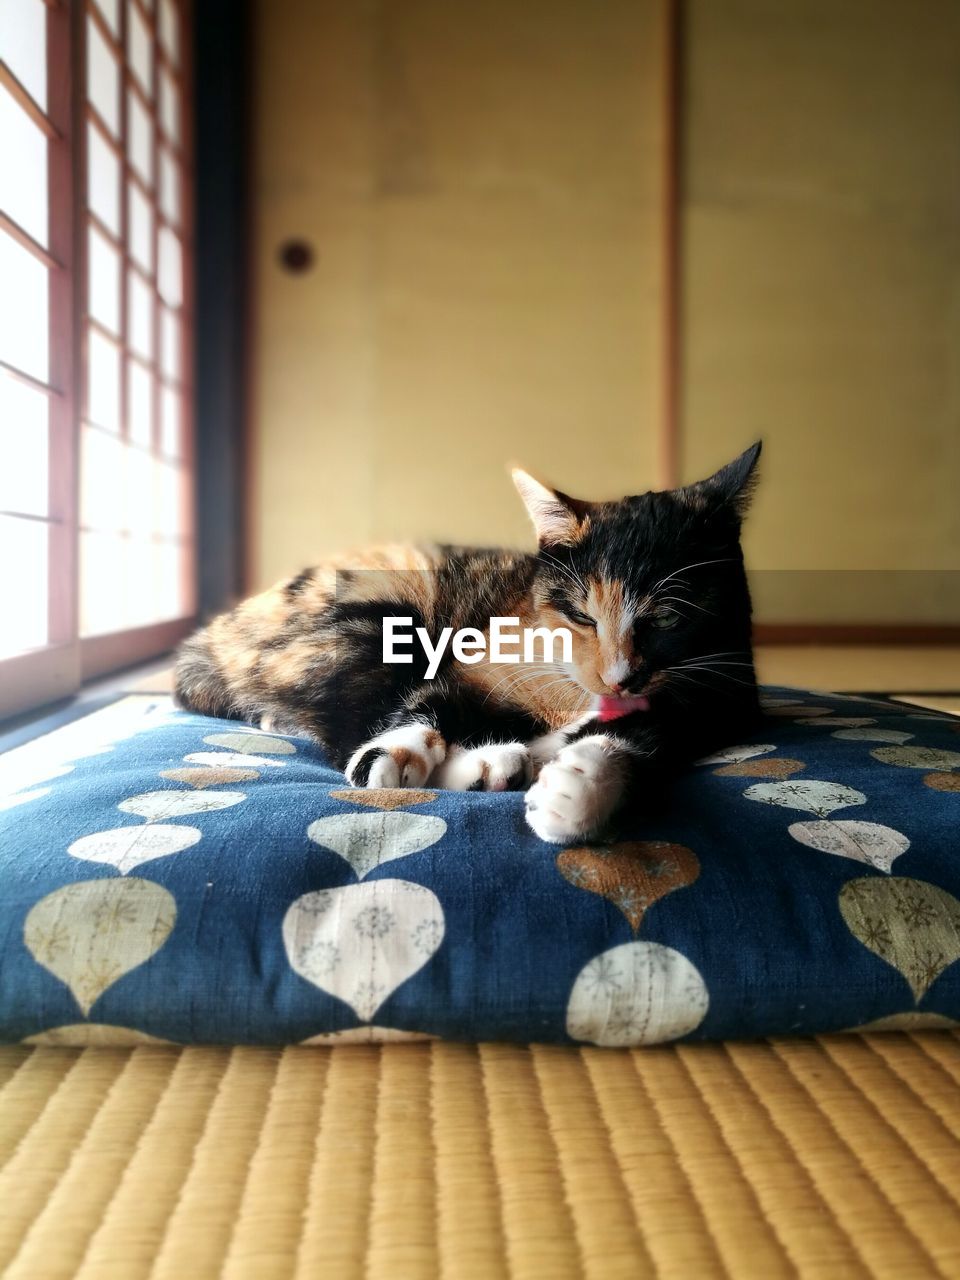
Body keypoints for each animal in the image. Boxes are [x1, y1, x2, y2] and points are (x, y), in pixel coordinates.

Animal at [171, 445, 757, 844]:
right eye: (579, 614)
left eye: (669, 616)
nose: (619, 679)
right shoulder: (480, 663)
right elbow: (430, 702)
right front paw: (397, 750)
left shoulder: (719, 697)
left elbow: (654, 736)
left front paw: (582, 787)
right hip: (379, 612)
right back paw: (486, 763)